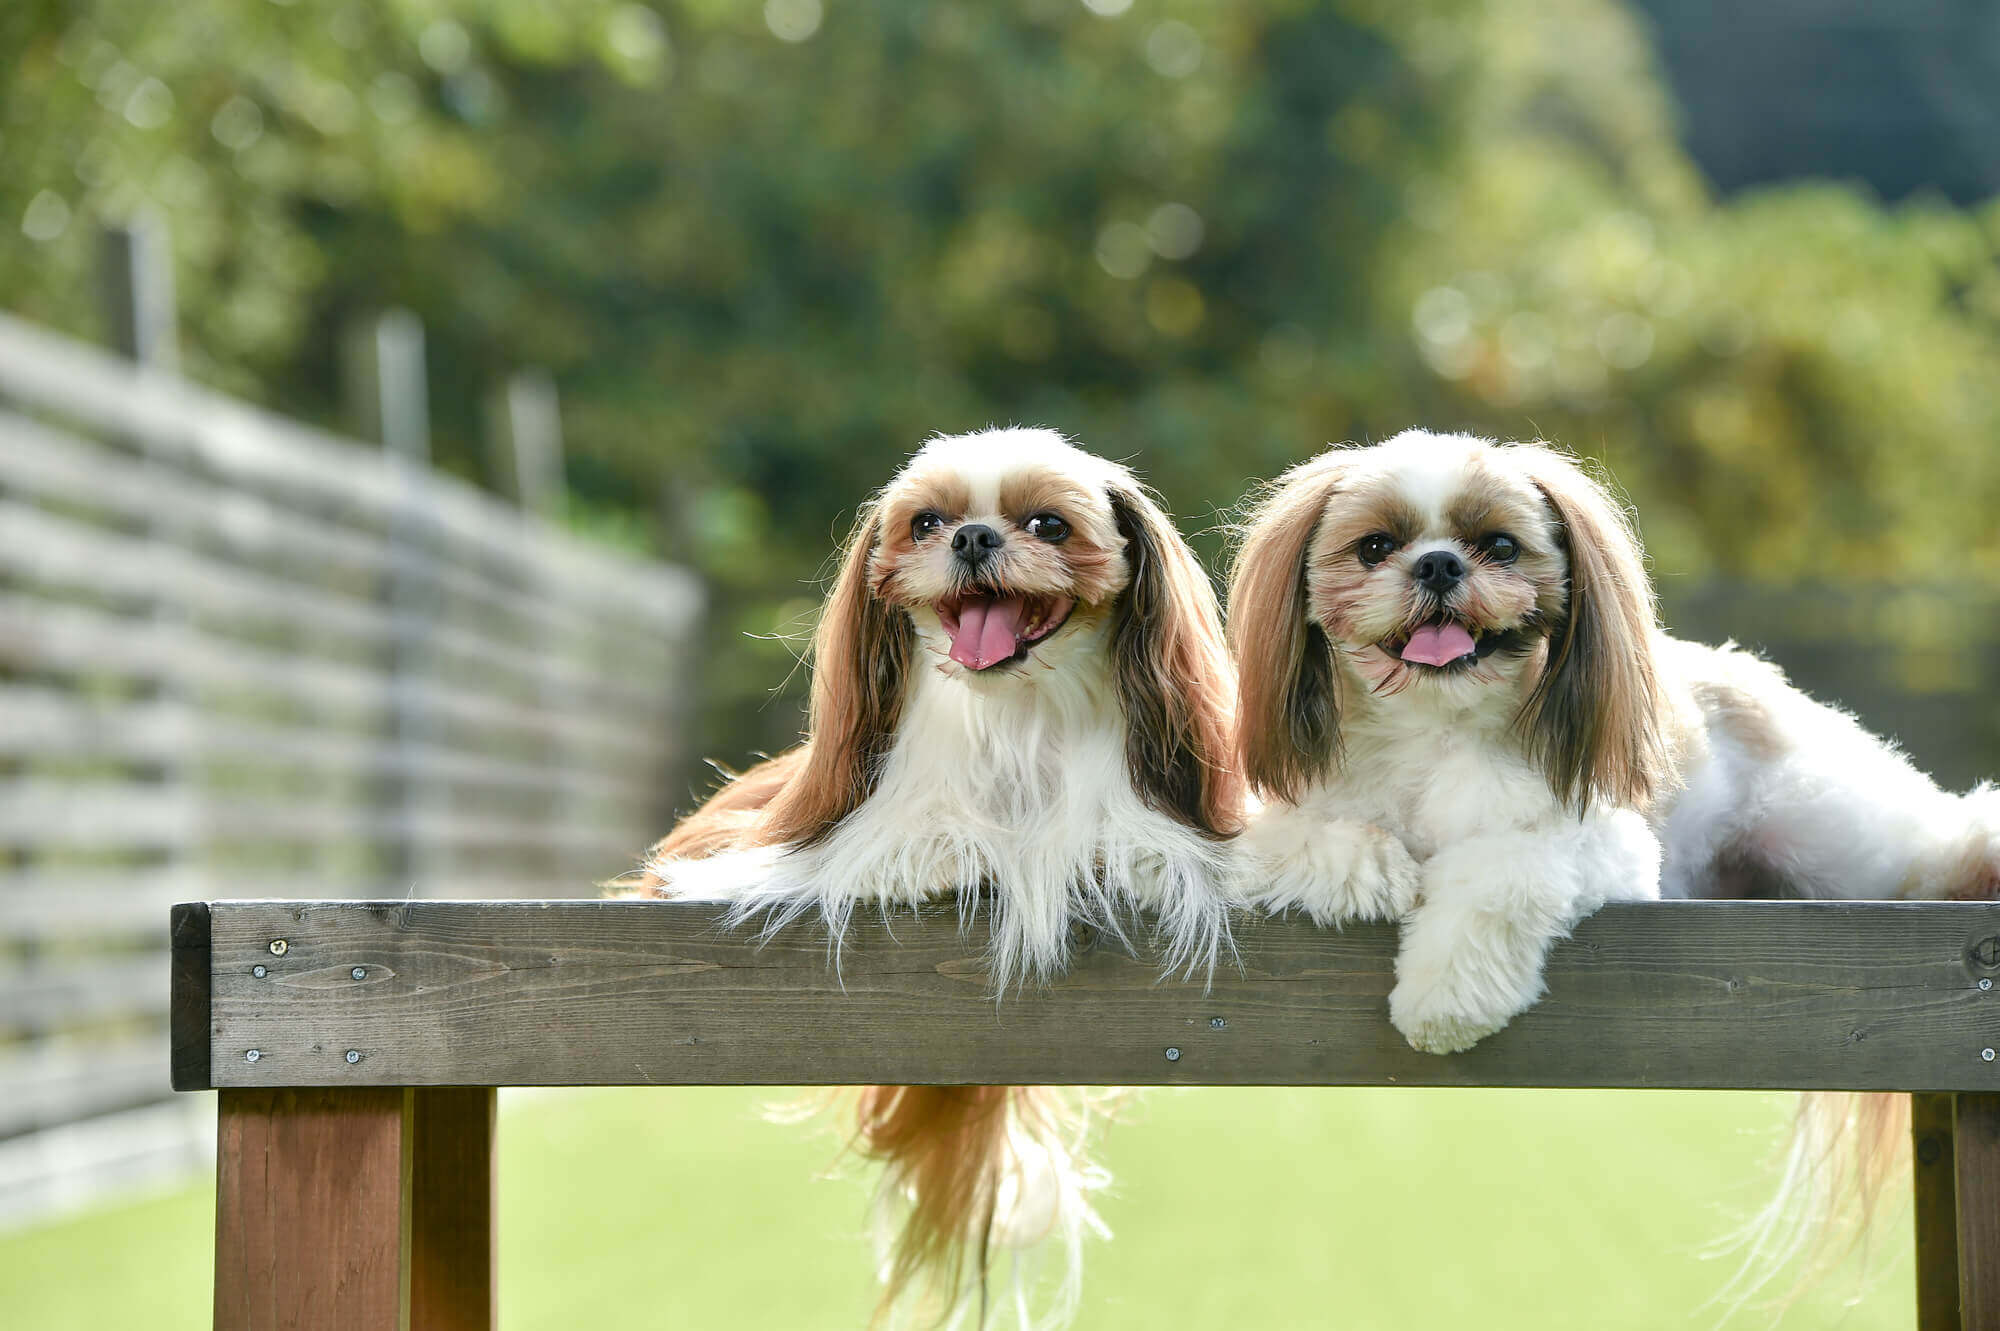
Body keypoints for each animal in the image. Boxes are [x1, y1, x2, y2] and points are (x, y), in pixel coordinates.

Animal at [632, 425, 1240, 1319]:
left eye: (1048, 524)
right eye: (925, 523)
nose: (973, 537)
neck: (1018, 717)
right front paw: (946, 851)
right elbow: (898, 845)